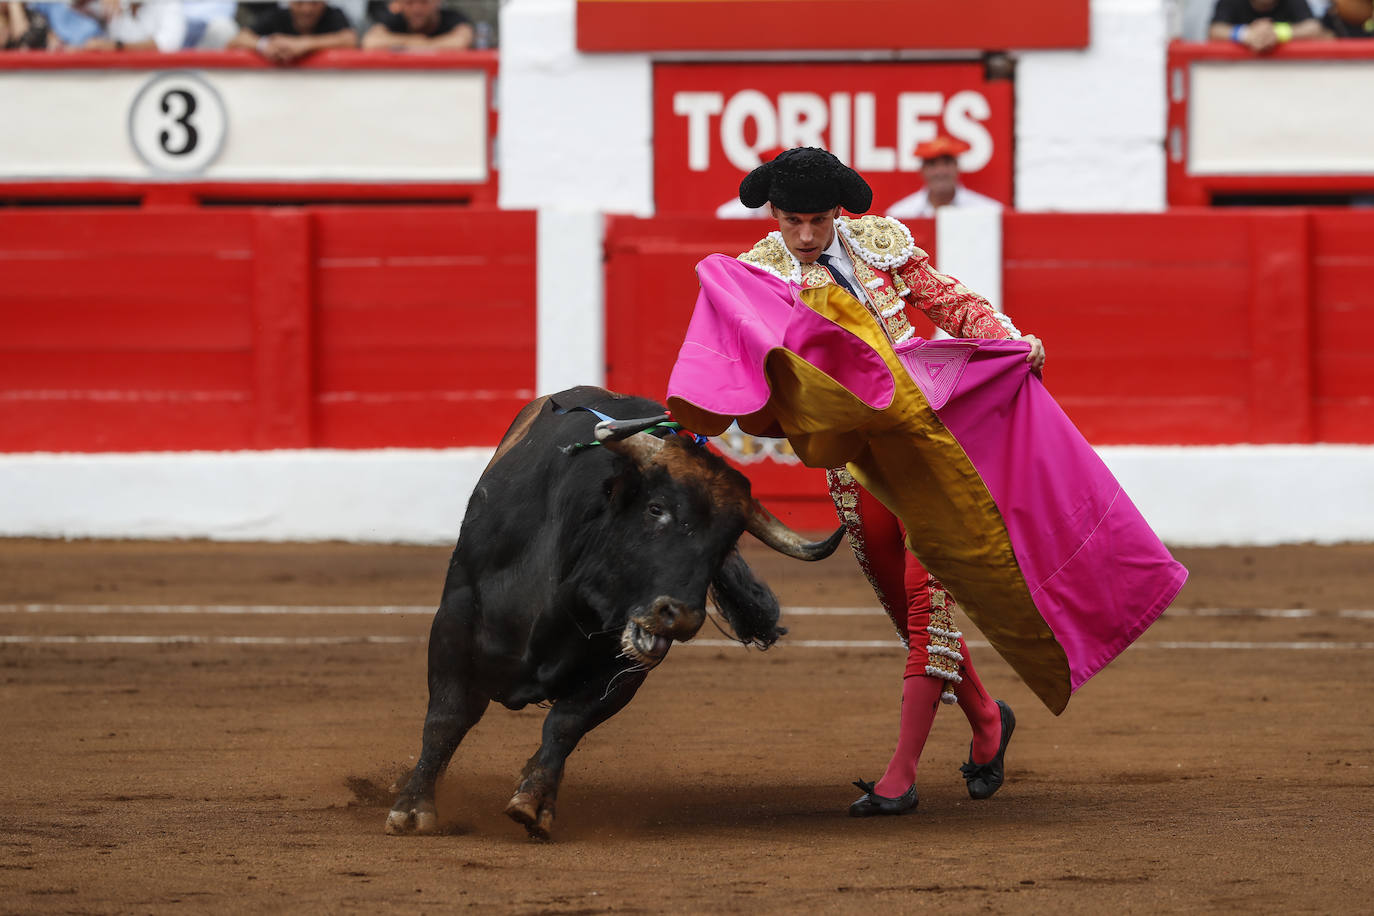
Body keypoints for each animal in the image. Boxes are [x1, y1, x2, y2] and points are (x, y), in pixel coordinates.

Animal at [381, 384, 840, 840]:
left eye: (726, 543)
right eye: (656, 509)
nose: (681, 615)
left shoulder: (624, 671)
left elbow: (565, 724)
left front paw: (533, 802)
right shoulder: (456, 619)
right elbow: (447, 717)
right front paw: (412, 809)